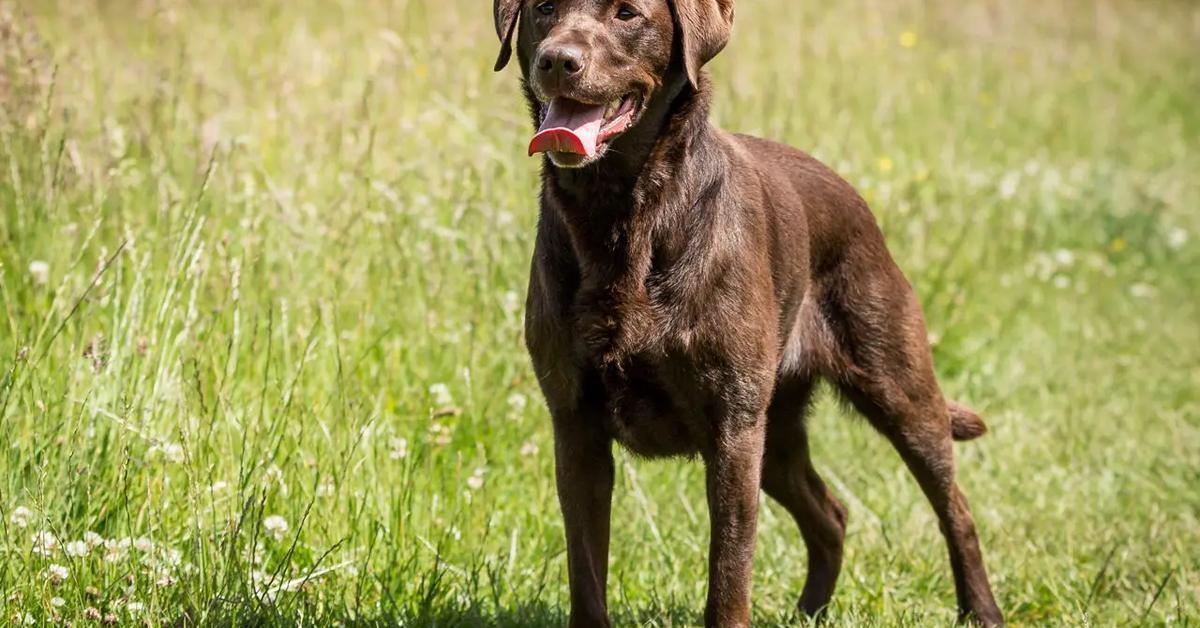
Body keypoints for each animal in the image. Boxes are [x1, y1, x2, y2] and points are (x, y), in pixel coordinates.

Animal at [487, 2, 1003, 624]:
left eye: (628, 13)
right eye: (543, 9)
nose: (558, 60)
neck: (624, 214)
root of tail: (855, 199)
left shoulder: (732, 430)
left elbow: (729, 573)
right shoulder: (576, 427)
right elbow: (586, 572)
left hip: (895, 392)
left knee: (955, 508)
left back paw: (981, 610)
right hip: (775, 430)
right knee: (830, 515)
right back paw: (808, 611)